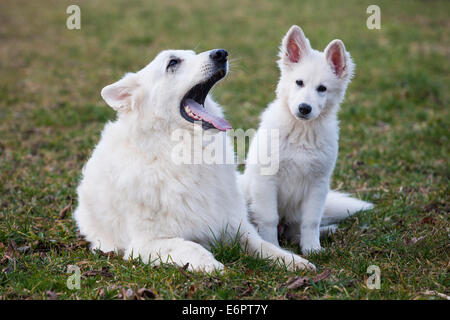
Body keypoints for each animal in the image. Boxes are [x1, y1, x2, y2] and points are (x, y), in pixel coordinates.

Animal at [74, 48, 314, 272]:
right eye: (173, 62)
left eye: (192, 53)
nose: (221, 53)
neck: (189, 152)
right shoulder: (145, 244)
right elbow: (192, 247)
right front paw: (212, 266)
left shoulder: (236, 226)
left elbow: (265, 246)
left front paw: (294, 261)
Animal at [241, 25, 374, 255]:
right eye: (299, 83)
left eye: (322, 88)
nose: (304, 108)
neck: (301, 132)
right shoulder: (266, 181)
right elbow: (269, 218)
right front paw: (273, 246)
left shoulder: (317, 184)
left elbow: (311, 221)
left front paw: (312, 249)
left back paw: (328, 231)